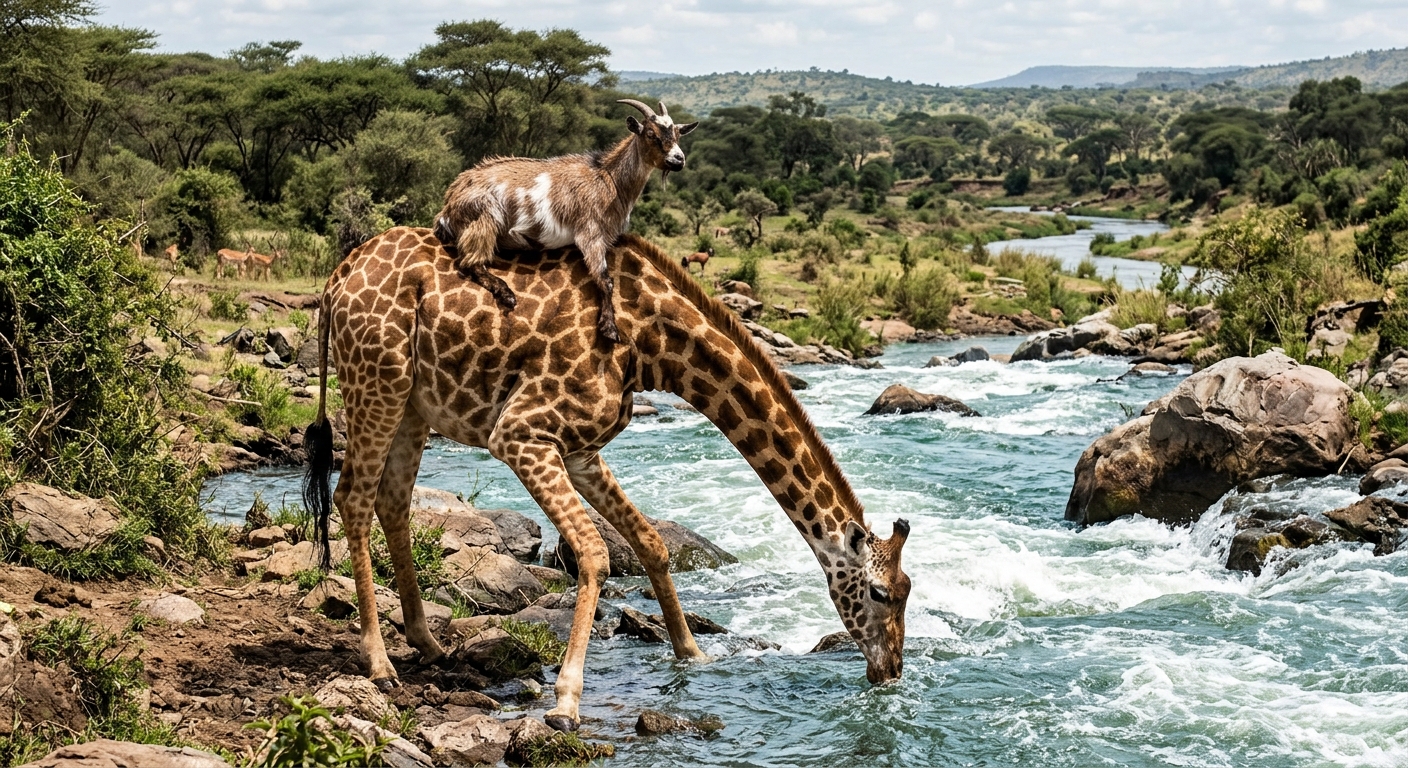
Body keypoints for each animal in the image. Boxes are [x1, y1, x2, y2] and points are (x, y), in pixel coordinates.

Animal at [303, 228, 912, 732]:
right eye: (881, 593)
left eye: (908, 590)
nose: (892, 669)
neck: (654, 346)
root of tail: (334, 280)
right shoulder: (521, 433)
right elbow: (595, 552)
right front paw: (567, 701)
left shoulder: (581, 452)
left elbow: (650, 542)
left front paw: (692, 653)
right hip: (377, 381)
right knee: (352, 497)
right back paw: (379, 661)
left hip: (413, 402)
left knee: (392, 500)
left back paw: (427, 643)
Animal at [433, 98, 697, 344]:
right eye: (650, 134)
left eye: (677, 135)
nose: (679, 159)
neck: (608, 178)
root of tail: (449, 202)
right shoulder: (590, 233)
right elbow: (606, 281)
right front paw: (609, 329)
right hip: (485, 217)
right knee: (470, 263)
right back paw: (507, 294)